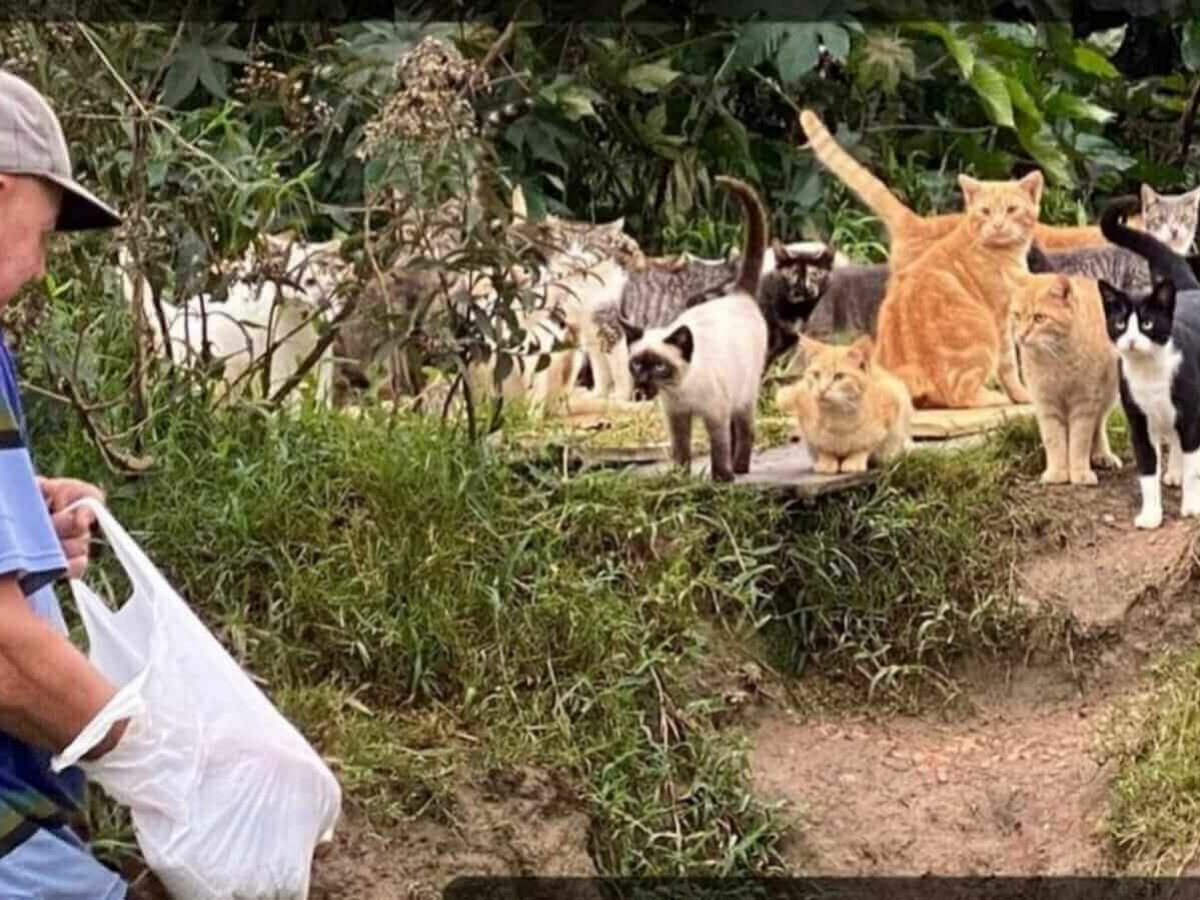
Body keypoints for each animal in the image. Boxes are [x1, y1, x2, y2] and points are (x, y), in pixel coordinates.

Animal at [619, 177, 768, 487]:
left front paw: (722, 477)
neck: (678, 390)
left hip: (744, 395)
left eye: (659, 366)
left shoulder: (715, 414)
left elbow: (718, 446)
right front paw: (679, 477)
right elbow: (681, 450)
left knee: (745, 430)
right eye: (637, 364)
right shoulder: (677, 417)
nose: (642, 383)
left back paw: (740, 467)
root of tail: (739, 294)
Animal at [772, 336, 912, 475]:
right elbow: (823, 448)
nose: (822, 390)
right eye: (816, 374)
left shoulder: (892, 405)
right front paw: (826, 462)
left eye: (839, 376)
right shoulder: (808, 426)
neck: (838, 419)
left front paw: (854, 460)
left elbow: (865, 446)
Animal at [873, 171, 1041, 408]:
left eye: (1011, 209)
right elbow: (1009, 365)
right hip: (985, 335)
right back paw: (991, 397)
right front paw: (1021, 395)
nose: (998, 225)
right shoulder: (1002, 319)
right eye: (985, 211)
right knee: (960, 396)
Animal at [1012, 273, 1123, 487]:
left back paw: (1102, 454)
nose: (1021, 335)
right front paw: (1058, 472)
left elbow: (1080, 440)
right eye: (1017, 315)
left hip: (1108, 393)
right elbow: (1054, 440)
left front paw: (1079, 472)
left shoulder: (1085, 402)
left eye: (1039, 318)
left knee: (1098, 425)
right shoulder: (1046, 403)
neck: (1057, 358)